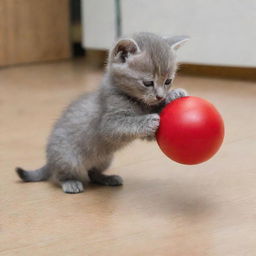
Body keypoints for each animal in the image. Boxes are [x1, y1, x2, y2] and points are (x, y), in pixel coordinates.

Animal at [15, 32, 188, 193]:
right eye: (148, 83)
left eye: (168, 81)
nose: (160, 96)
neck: (137, 102)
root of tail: (49, 160)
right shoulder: (108, 124)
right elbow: (127, 123)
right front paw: (148, 120)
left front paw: (174, 95)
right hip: (69, 158)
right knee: (60, 175)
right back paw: (70, 182)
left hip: (105, 159)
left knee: (92, 173)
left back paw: (107, 178)